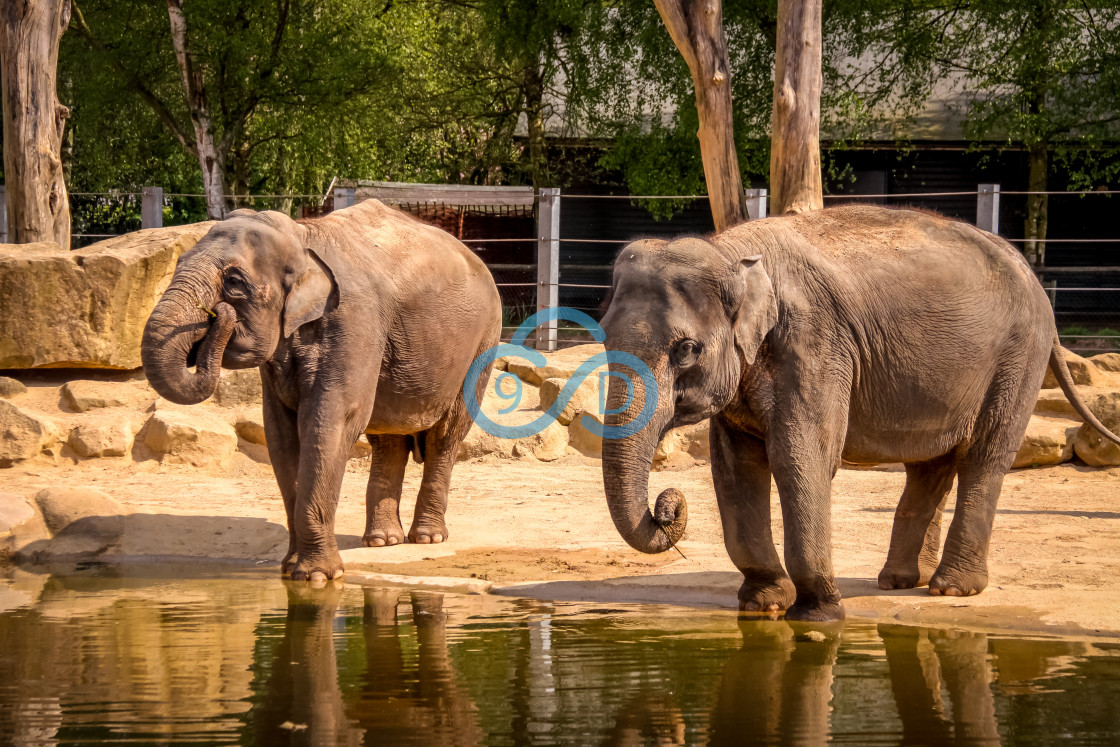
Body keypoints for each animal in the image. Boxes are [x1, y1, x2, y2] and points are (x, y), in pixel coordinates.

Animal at [142, 200, 501, 582]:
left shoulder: (354, 319)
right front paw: (291, 570)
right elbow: (281, 433)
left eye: (234, 282)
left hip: (482, 344)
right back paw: (383, 540)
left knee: (445, 436)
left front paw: (317, 577)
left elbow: (330, 422)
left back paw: (427, 538)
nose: (219, 315)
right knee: (388, 440)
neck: (303, 235)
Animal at [604, 202, 1120, 618]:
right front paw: (764, 606)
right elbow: (735, 470)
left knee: (985, 458)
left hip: (1019, 356)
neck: (731, 251)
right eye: (603, 335)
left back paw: (952, 590)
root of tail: (1030, 272)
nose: (666, 506)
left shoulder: (815, 345)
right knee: (930, 465)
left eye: (687, 349)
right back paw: (900, 582)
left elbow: (801, 459)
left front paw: (819, 614)